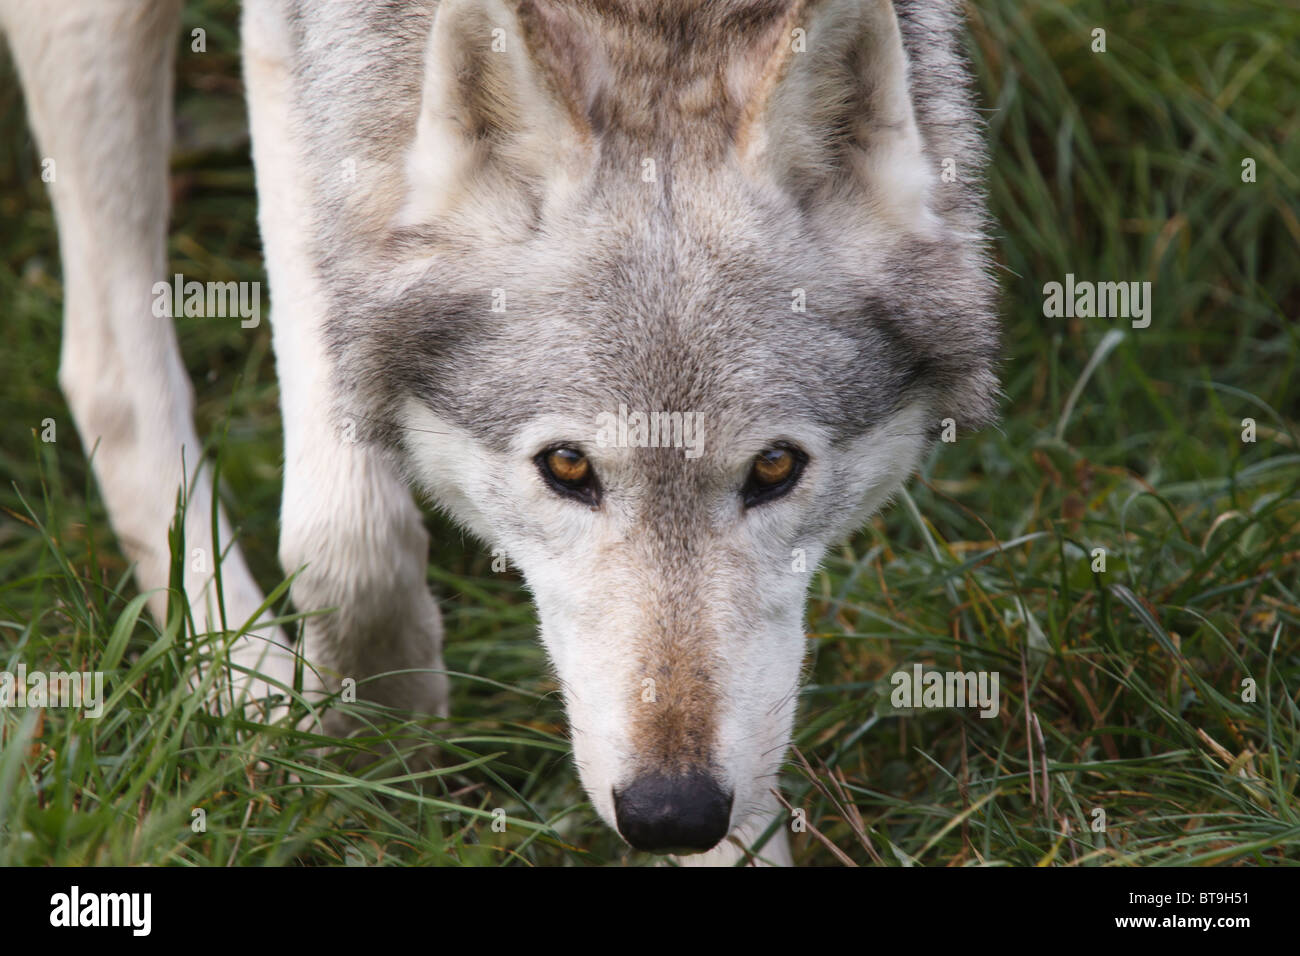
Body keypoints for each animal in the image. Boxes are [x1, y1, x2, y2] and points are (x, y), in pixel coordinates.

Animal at [0, 0, 993, 868]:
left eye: (776, 468)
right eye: (568, 467)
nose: (671, 812)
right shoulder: (305, 59)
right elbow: (348, 539)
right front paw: (381, 752)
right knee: (108, 373)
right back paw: (250, 714)